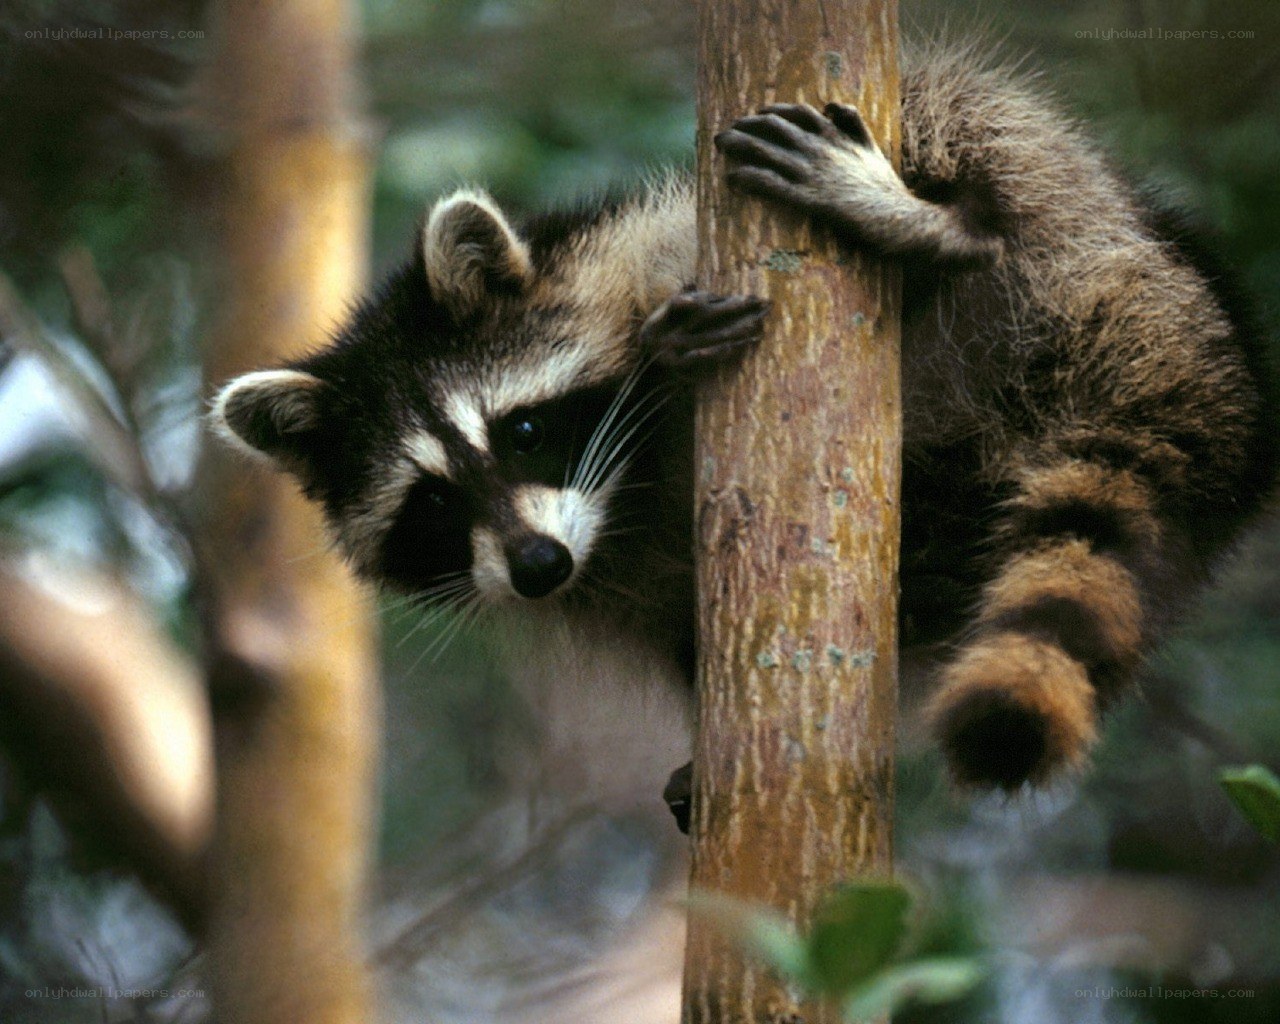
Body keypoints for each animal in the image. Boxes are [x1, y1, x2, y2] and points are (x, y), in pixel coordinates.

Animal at [213, 47, 1275, 799]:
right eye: (432, 502)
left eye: (521, 433)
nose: (538, 568)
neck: (621, 503)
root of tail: (1184, 329)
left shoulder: (650, 243)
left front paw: (658, 364)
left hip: (1076, 228)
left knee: (968, 119)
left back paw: (943, 227)